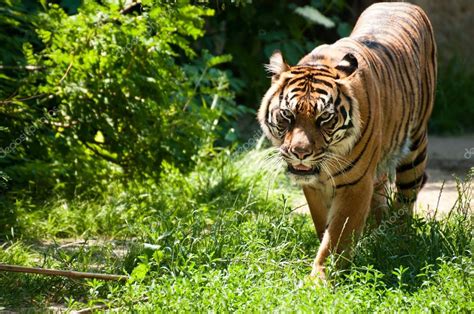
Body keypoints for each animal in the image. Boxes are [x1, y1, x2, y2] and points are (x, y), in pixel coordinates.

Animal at [260, 1, 436, 282]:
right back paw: (377, 235)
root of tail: (401, 3)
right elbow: (324, 225)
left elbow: (337, 236)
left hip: (415, 147)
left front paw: (320, 280)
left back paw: (398, 244)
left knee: (405, 201)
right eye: (287, 115)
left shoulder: (355, 184)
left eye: (324, 117)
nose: (300, 153)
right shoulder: (315, 186)